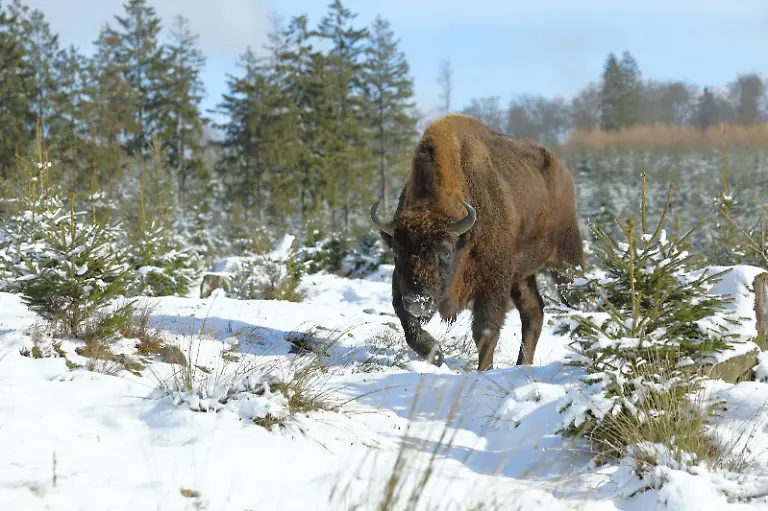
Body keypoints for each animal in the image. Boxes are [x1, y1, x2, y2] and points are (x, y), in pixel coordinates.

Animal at [370, 113, 584, 370]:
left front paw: (483, 371)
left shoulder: (493, 282)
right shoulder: (400, 284)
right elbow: (407, 324)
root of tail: (563, 172)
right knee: (533, 312)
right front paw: (437, 355)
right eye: (396, 253)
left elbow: (485, 331)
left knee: (576, 298)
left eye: (445, 252)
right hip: (522, 276)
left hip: (565, 259)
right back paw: (522, 365)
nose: (417, 301)